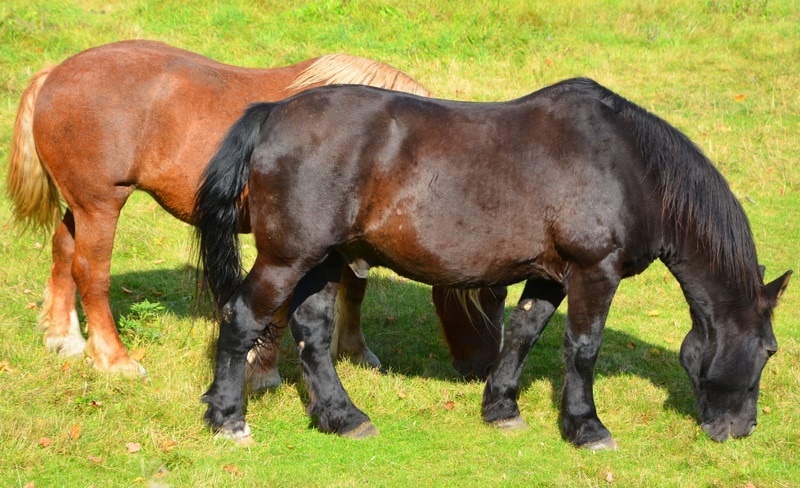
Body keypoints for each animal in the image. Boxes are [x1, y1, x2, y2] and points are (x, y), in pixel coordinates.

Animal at [6, 40, 500, 386]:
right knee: (91, 273)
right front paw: (262, 369)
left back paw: (63, 338)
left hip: (82, 206)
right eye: (491, 296)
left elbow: (354, 290)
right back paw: (115, 360)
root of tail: (55, 74)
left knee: (62, 250)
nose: (482, 369)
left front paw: (355, 352)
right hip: (102, 204)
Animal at [195, 78, 792, 448]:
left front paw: (502, 408)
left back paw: (343, 418)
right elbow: (583, 348)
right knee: (242, 319)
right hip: (287, 258)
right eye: (769, 350)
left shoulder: (551, 275)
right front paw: (586, 427)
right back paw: (228, 419)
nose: (741, 430)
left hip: (322, 260)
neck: (630, 166)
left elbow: (525, 334)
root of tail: (273, 114)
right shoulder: (595, 271)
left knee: (314, 336)